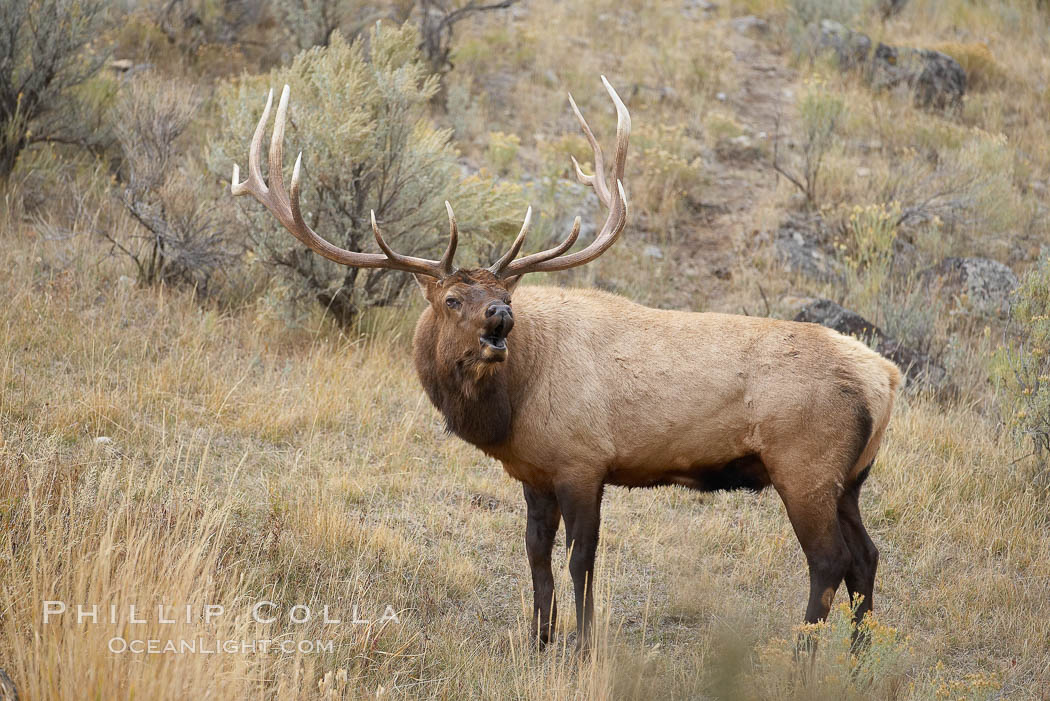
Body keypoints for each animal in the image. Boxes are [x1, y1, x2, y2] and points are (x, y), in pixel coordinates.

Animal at [232, 79, 902, 650]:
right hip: (850, 477)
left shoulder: (584, 460)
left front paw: (579, 645)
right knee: (866, 556)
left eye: (503, 293)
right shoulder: (534, 470)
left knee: (829, 561)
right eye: (452, 299)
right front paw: (538, 639)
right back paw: (860, 653)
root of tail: (888, 379)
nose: (500, 316)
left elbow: (582, 559)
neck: (511, 410)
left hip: (804, 464)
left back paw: (805, 653)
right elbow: (536, 555)